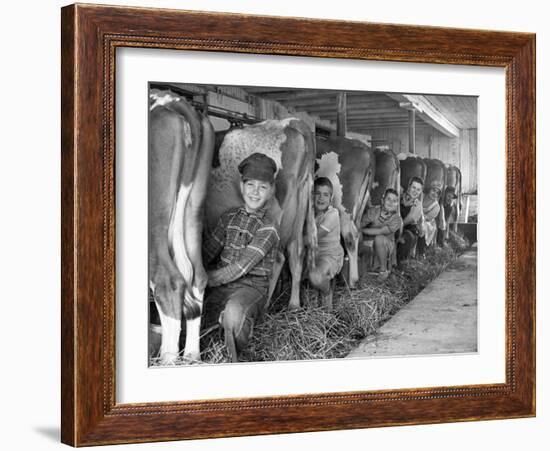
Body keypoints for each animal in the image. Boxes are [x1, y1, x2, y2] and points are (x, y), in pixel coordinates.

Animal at [206, 118, 320, 312]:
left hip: (276, 213)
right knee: (296, 253)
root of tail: (290, 123)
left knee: (278, 258)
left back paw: (266, 305)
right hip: (299, 209)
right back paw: (293, 305)